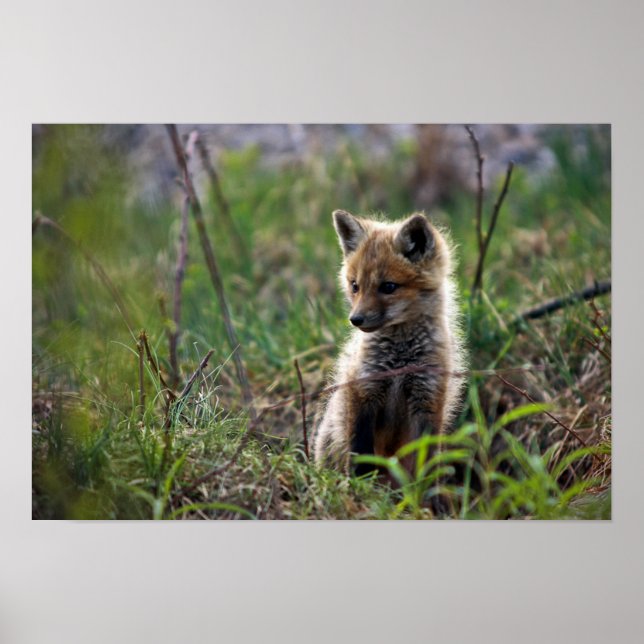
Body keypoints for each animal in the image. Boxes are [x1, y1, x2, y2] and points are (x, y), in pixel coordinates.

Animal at [313, 209, 466, 474]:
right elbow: (360, 452)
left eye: (388, 287)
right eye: (355, 286)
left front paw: (423, 487)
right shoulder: (364, 389)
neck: (399, 360)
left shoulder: (428, 397)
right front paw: (359, 483)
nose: (355, 319)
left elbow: (426, 460)